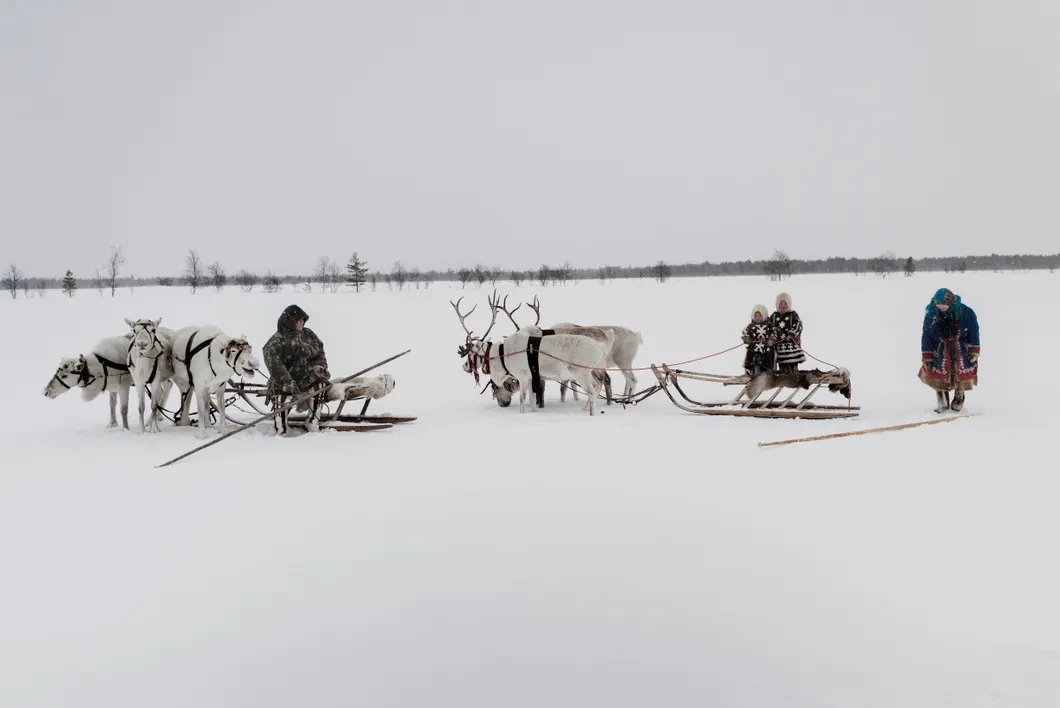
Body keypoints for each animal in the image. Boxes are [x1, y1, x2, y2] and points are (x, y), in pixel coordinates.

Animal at [452, 291, 612, 415]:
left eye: (471, 353)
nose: (464, 366)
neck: (502, 355)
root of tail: (601, 346)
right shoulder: (531, 377)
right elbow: (532, 399)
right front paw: (534, 412)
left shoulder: (523, 376)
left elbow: (523, 398)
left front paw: (522, 414)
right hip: (592, 371)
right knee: (597, 386)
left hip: (581, 372)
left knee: (592, 392)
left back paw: (591, 413)